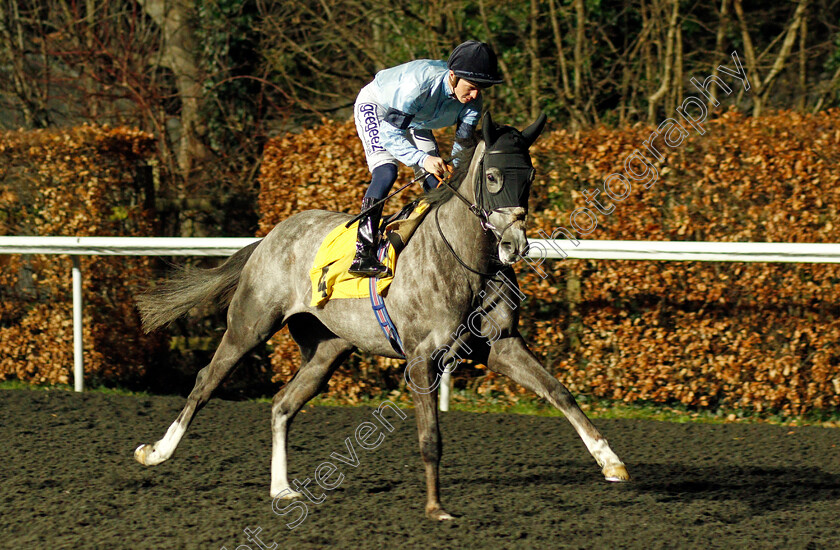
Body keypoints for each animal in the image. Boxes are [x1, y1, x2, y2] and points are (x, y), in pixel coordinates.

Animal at [135, 112, 628, 520]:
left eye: (529, 175)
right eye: (491, 176)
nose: (514, 245)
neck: (466, 259)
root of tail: (269, 237)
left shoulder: (501, 344)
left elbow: (559, 392)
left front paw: (611, 461)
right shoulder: (422, 358)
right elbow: (430, 438)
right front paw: (435, 508)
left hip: (326, 350)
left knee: (283, 404)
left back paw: (282, 488)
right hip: (250, 326)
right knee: (205, 382)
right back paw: (156, 452)